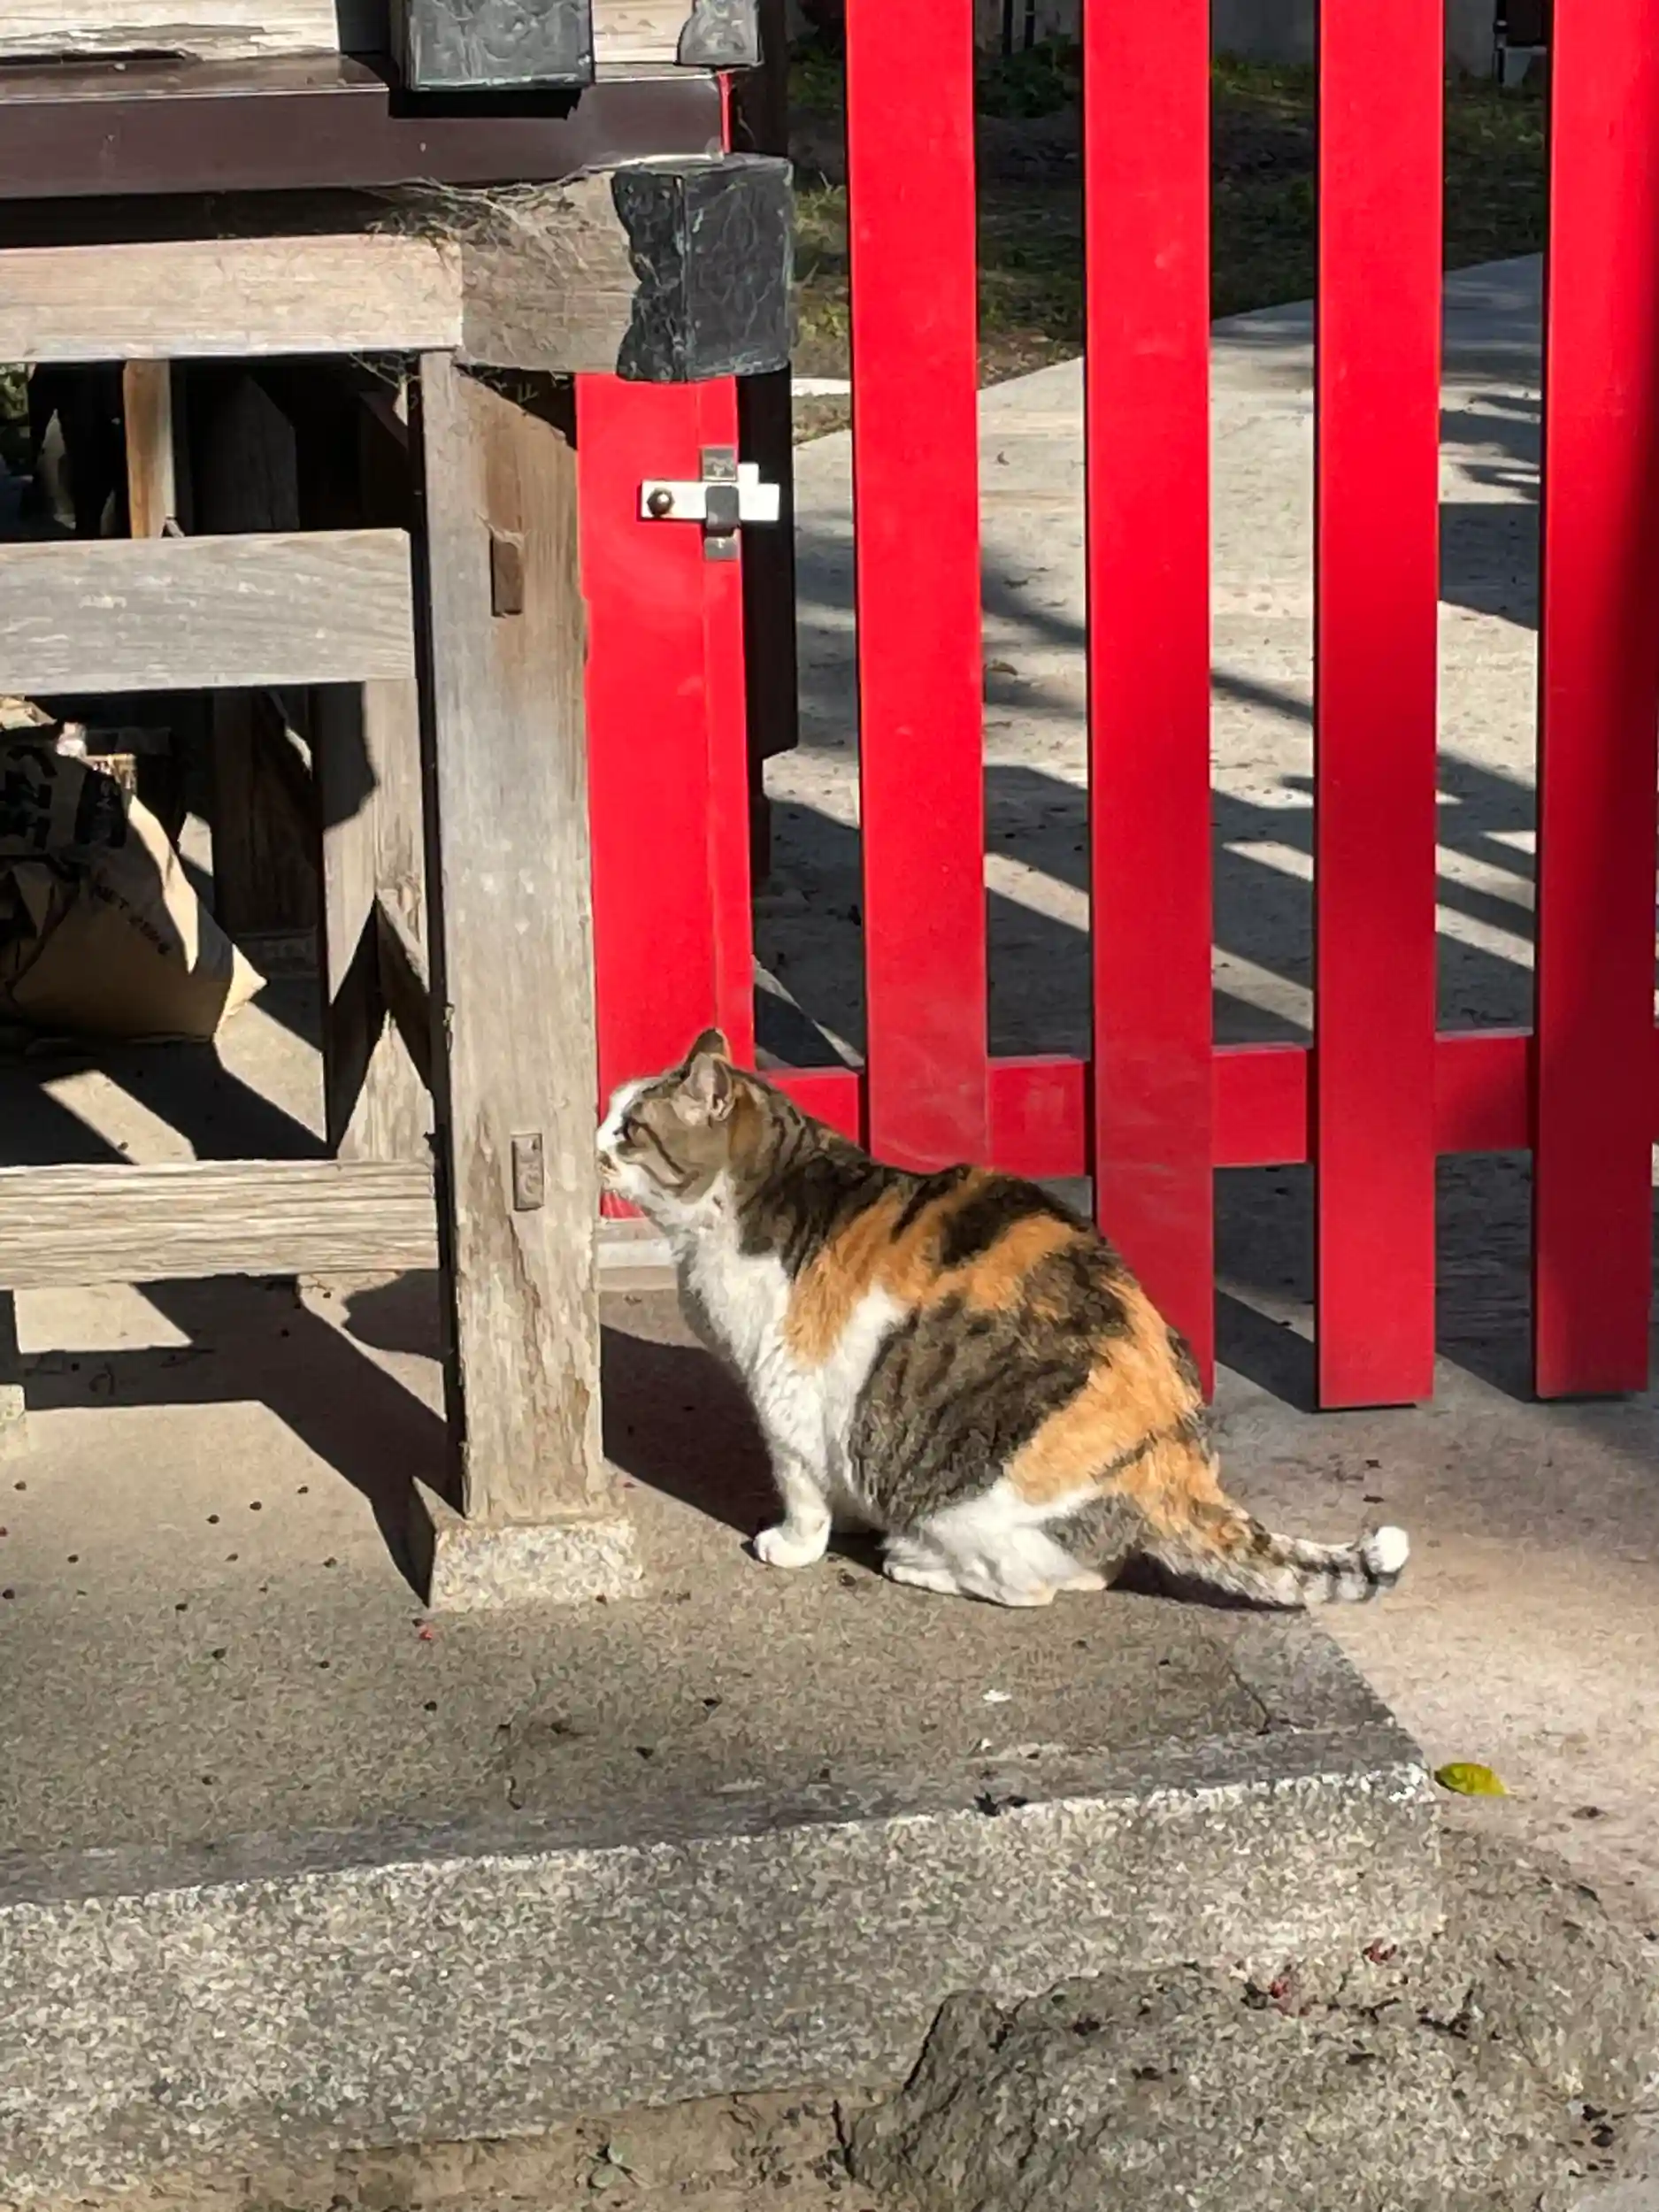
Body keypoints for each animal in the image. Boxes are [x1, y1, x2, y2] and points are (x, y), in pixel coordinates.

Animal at [597, 1030, 1409, 1611]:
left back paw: (915, 1562)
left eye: (630, 1129)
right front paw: (851, 1510)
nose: (592, 1139)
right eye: (610, 1115)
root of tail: (1177, 1456)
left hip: (974, 1503)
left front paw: (795, 1544)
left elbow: (799, 1489)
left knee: (1025, 1585)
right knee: (1090, 1567)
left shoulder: (784, 1390)